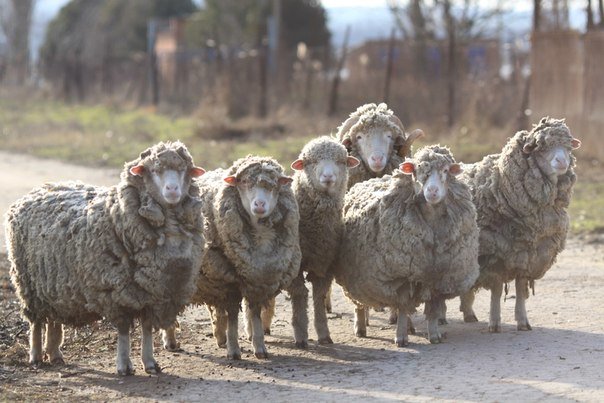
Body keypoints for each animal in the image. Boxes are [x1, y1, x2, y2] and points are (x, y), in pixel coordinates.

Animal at [4, 142, 208, 376]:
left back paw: (55, 354)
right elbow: (123, 331)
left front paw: (149, 362)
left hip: (54, 287)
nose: (172, 190)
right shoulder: (117, 292)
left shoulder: (152, 293)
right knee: (36, 323)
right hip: (29, 285)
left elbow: (147, 328)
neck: (118, 214)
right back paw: (36, 356)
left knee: (54, 320)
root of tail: (37, 190)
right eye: (154, 170)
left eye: (184, 170)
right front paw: (123, 365)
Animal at [164, 155, 300, 360]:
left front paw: (259, 347)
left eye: (275, 185)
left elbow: (255, 314)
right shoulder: (228, 283)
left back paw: (220, 337)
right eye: (243, 182)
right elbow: (234, 317)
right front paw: (234, 350)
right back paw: (170, 340)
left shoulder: (255, 282)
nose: (259, 205)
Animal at [260, 137, 358, 348]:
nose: (328, 177)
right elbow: (300, 295)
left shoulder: (325, 264)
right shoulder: (294, 267)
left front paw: (323, 334)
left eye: (341, 161)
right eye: (310, 162)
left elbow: (319, 297)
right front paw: (300, 335)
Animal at [332, 144, 478, 346]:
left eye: (446, 171)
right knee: (359, 303)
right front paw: (400, 337)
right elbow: (401, 307)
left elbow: (432, 309)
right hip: (357, 277)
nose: (432, 191)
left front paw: (434, 334)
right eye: (416, 172)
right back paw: (361, 327)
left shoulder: (437, 275)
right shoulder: (402, 275)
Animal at [458, 116, 580, 332]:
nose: (562, 162)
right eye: (540, 147)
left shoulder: (528, 254)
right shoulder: (496, 255)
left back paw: (468, 313)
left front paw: (523, 321)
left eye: (568, 147)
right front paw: (494, 322)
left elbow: (521, 289)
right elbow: (497, 291)